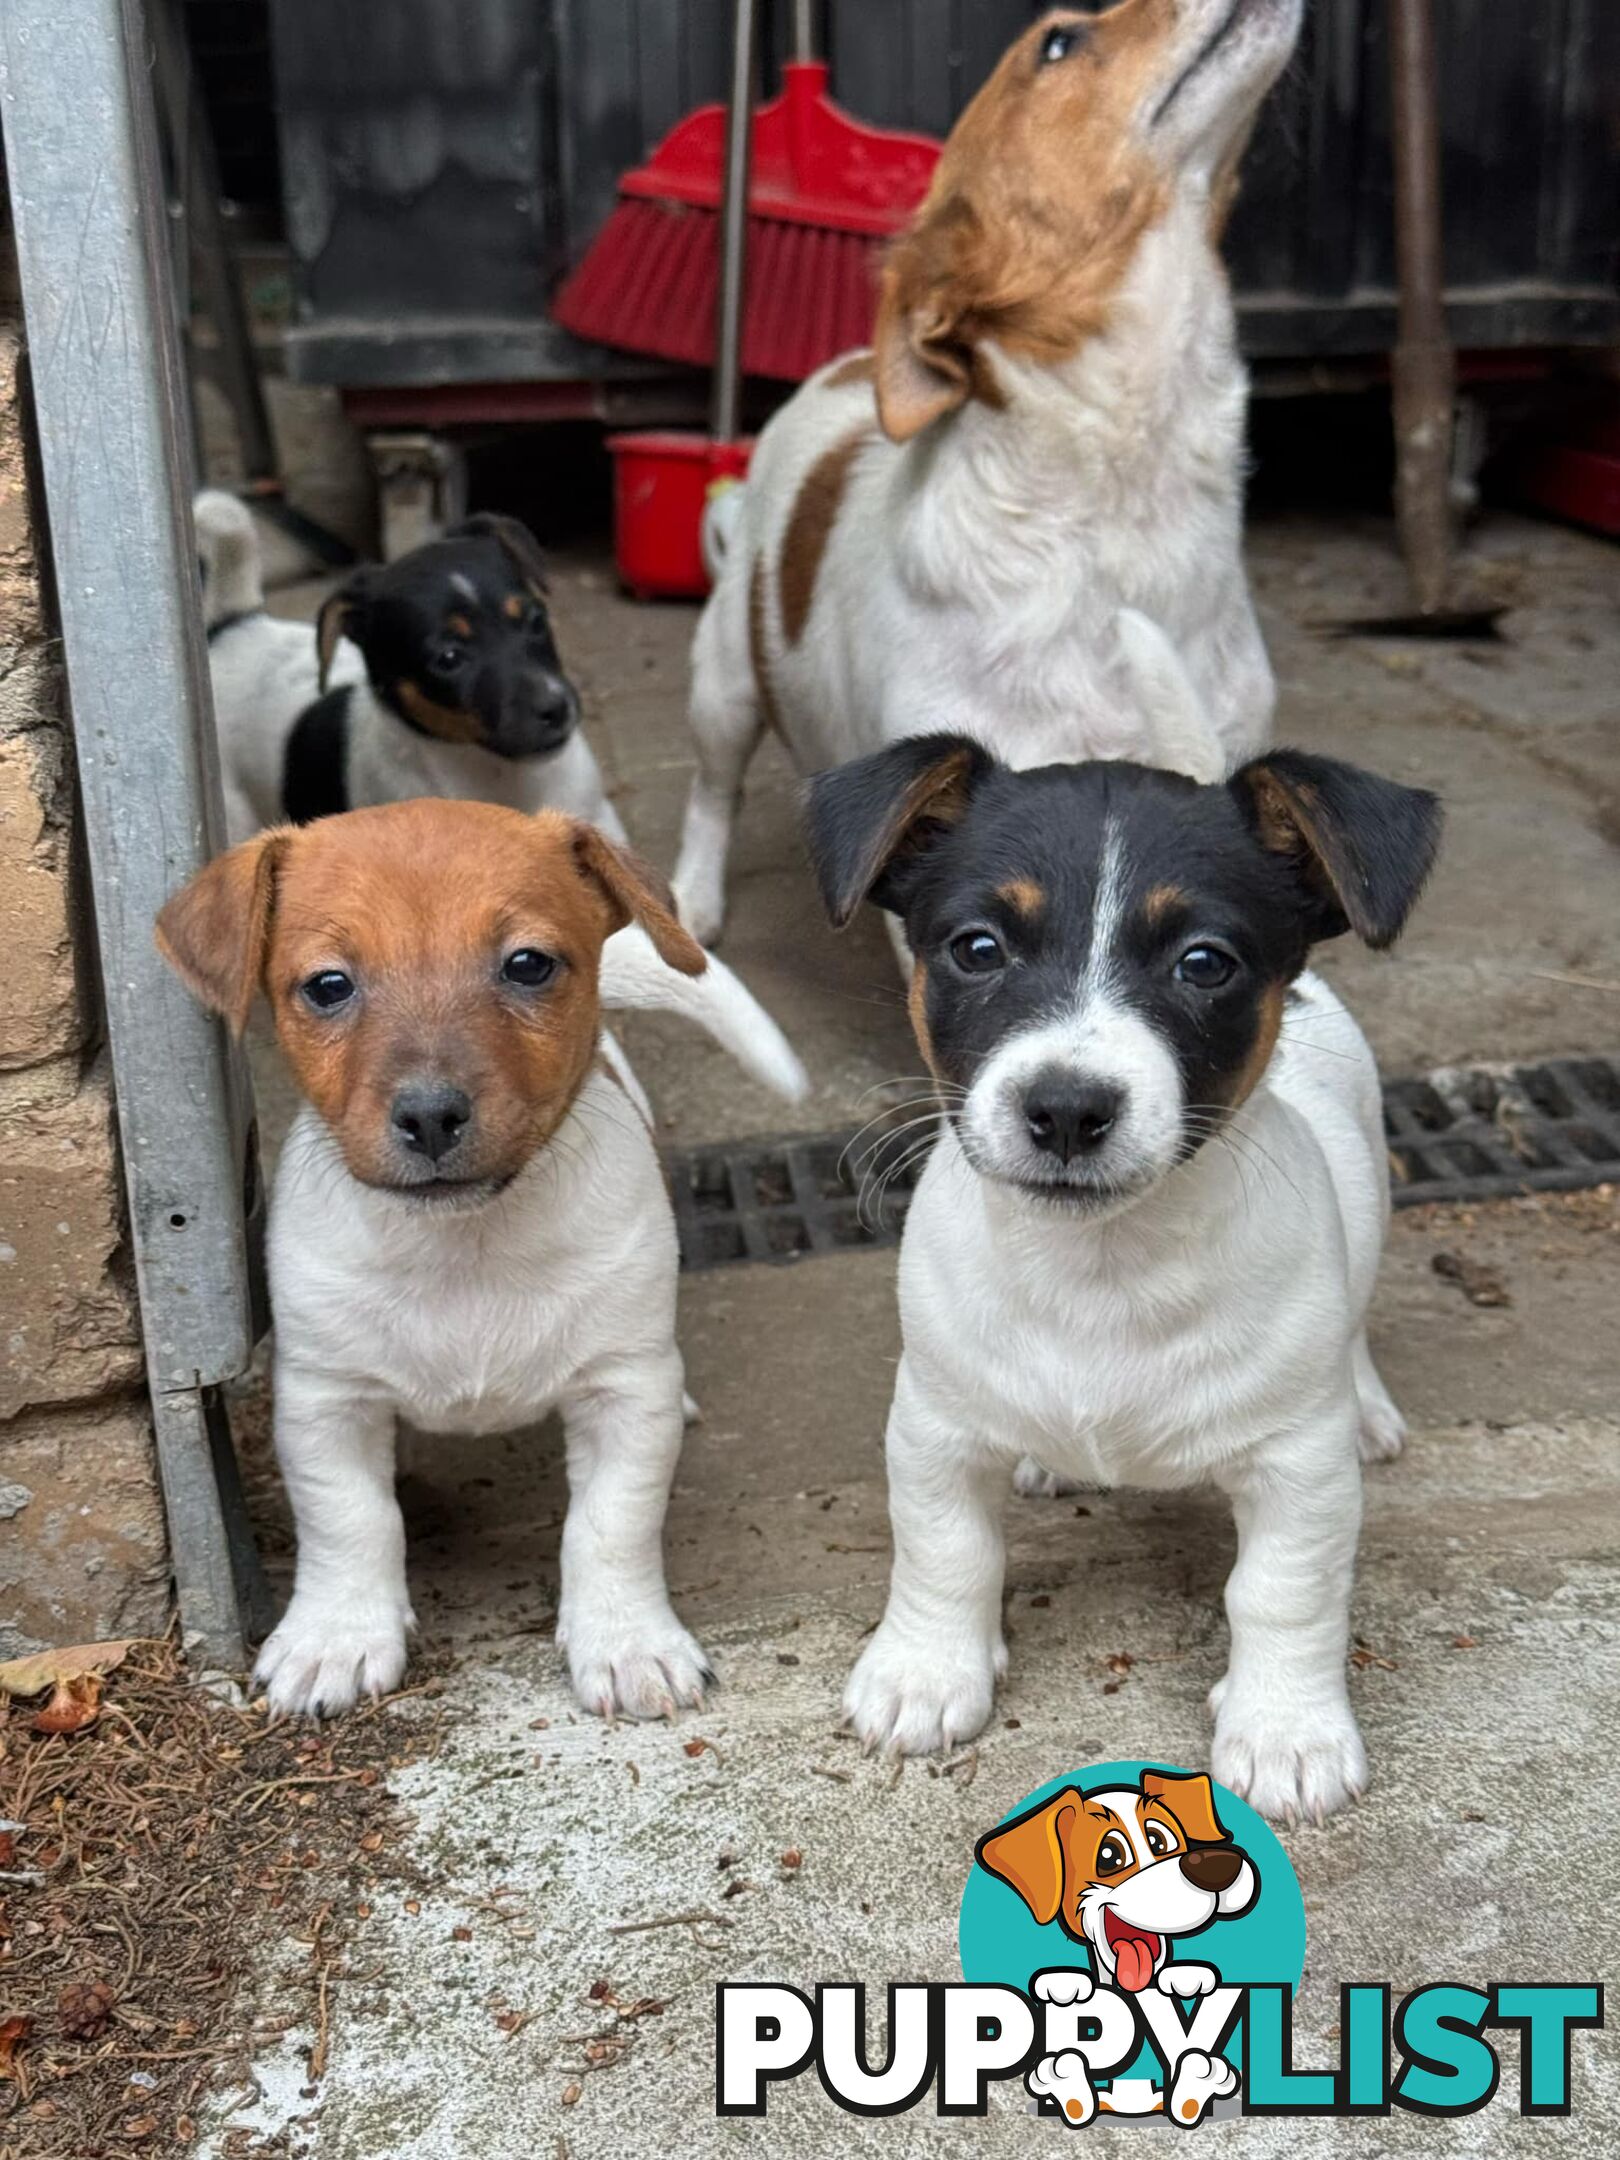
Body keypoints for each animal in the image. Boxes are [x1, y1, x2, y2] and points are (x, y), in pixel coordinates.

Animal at [158, 799, 743, 1719]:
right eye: (328, 985)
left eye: (528, 965)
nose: (431, 1115)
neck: (465, 1245)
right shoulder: (327, 1402)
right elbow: (352, 1520)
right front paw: (336, 1638)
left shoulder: (623, 1394)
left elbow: (611, 1523)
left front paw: (628, 1642)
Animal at [812, 734, 1442, 1814]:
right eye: (977, 948)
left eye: (1205, 964)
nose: (1066, 1108)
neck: (1099, 1270)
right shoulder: (934, 1425)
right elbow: (944, 1550)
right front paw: (924, 1673)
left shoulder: (1298, 1471)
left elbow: (1284, 1591)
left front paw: (1288, 1730)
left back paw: (1366, 1407)